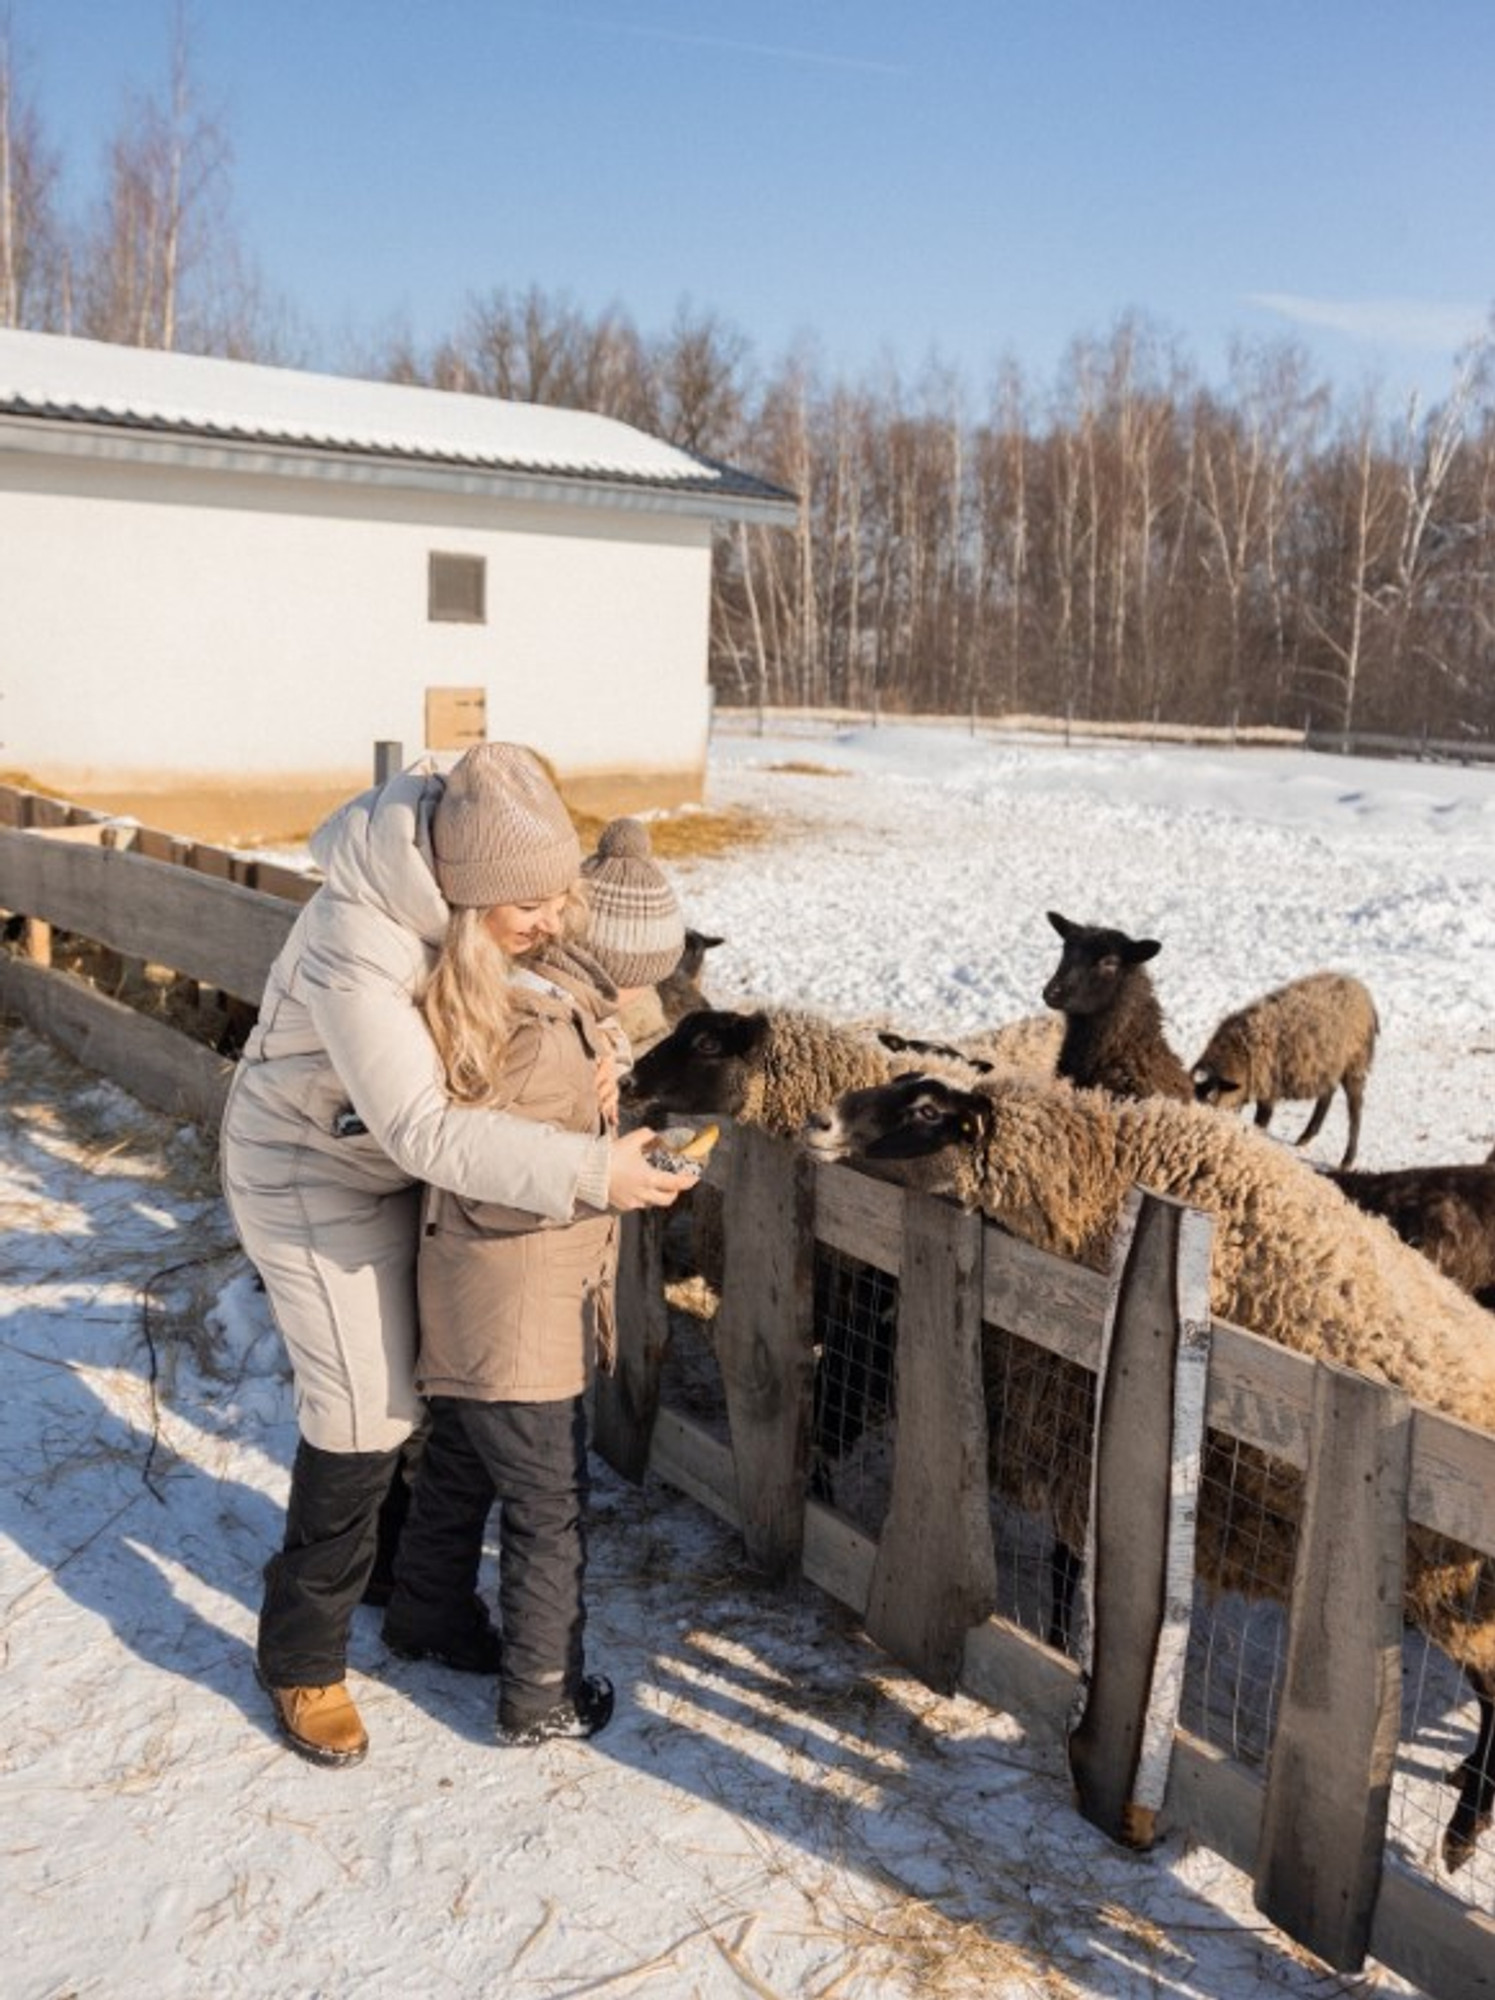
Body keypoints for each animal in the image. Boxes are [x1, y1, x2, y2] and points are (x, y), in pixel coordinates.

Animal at [807, 1072, 1495, 1864]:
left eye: (926, 1112)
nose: (819, 1121)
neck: (1107, 1171)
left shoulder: (1084, 1445)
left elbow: (1068, 1576)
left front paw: (1062, 1657)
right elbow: (1068, 1568)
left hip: (1456, 1596)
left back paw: (1463, 1831)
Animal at [1191, 972, 1375, 1168]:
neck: (1238, 1053)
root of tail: (1359, 988)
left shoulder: (1267, 1088)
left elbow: (1261, 1121)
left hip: (1354, 1062)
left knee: (1355, 1108)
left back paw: (1348, 1158)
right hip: (1327, 1065)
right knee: (1327, 1095)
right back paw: (1306, 1137)